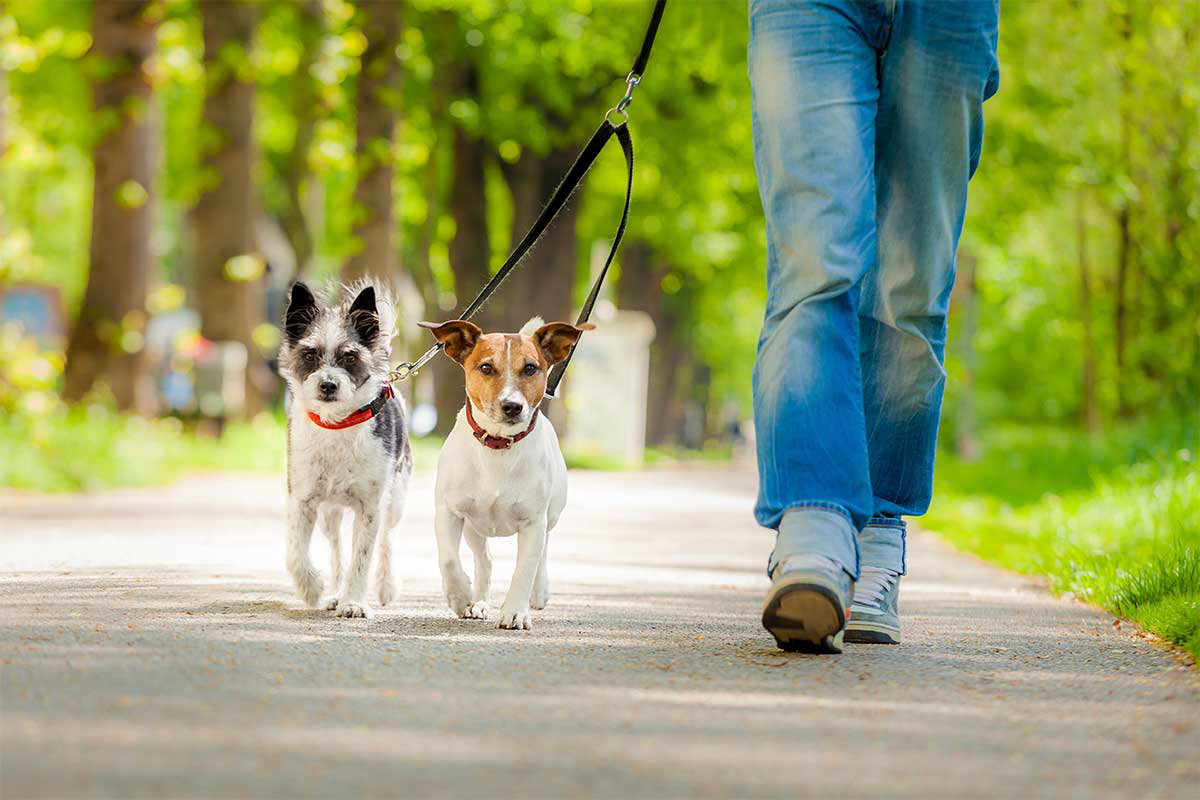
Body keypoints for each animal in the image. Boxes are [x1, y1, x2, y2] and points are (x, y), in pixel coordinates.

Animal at [279, 281, 412, 618]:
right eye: (310, 354)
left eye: (350, 357)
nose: (328, 385)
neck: (337, 425)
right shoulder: (302, 500)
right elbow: (295, 553)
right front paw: (312, 589)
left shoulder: (370, 508)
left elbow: (362, 558)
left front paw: (354, 602)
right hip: (330, 513)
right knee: (337, 550)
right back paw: (335, 592)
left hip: (395, 499)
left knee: (387, 540)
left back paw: (385, 586)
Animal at [417, 316, 595, 628]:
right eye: (486, 367)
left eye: (531, 368)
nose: (512, 406)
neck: (498, 445)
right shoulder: (449, 512)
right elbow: (449, 559)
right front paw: (460, 596)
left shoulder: (534, 522)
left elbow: (524, 569)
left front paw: (515, 611)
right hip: (474, 527)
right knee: (484, 560)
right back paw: (478, 602)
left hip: (550, 517)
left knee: (542, 555)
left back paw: (538, 593)